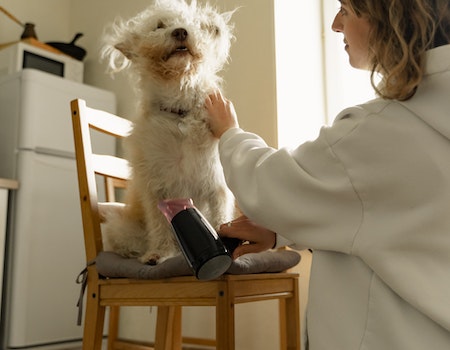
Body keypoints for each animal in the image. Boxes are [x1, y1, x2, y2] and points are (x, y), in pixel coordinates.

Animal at [100, 0, 237, 264]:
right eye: (159, 26)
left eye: (193, 24)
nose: (181, 31)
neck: (178, 111)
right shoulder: (157, 190)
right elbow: (160, 226)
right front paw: (159, 253)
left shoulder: (217, 185)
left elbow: (220, 218)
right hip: (120, 229)